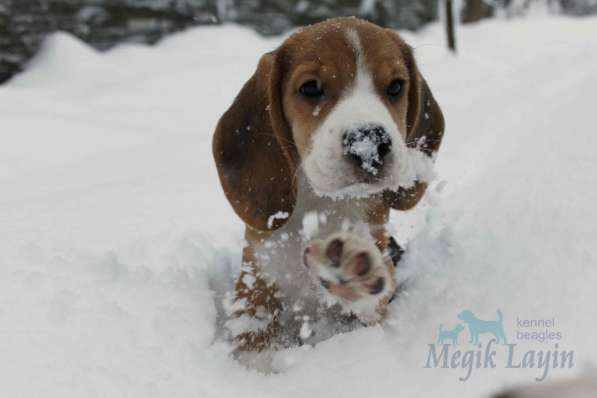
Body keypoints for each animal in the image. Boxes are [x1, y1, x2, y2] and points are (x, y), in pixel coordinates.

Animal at [213, 17, 442, 352]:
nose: (369, 142)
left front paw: (350, 271)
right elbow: (254, 347)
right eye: (310, 87)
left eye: (396, 87)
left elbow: (373, 304)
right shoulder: (255, 292)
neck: (322, 205)